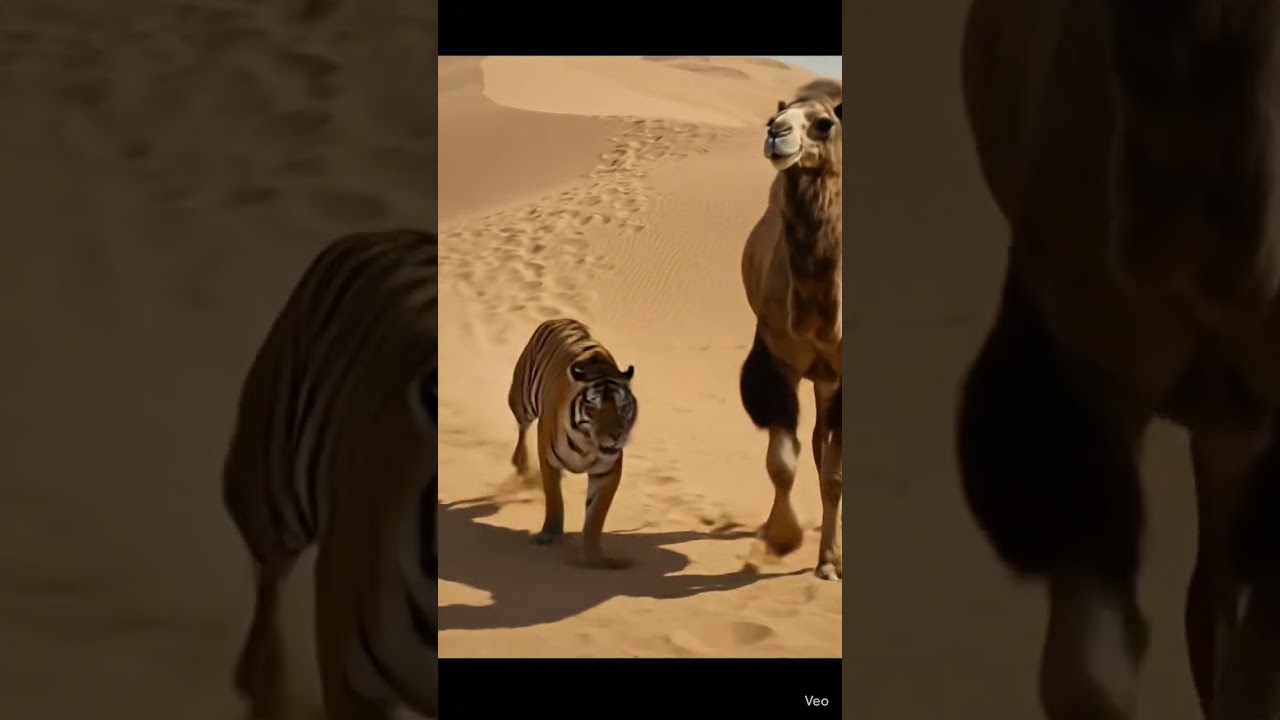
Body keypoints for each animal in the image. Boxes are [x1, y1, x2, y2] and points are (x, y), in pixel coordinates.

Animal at [507, 317, 638, 569]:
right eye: (594, 407)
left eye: (622, 406)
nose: (616, 435)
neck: (586, 443)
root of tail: (560, 319)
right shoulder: (548, 459)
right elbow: (554, 498)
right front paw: (549, 535)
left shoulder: (608, 472)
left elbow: (597, 514)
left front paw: (594, 554)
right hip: (522, 401)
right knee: (522, 427)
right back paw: (520, 463)